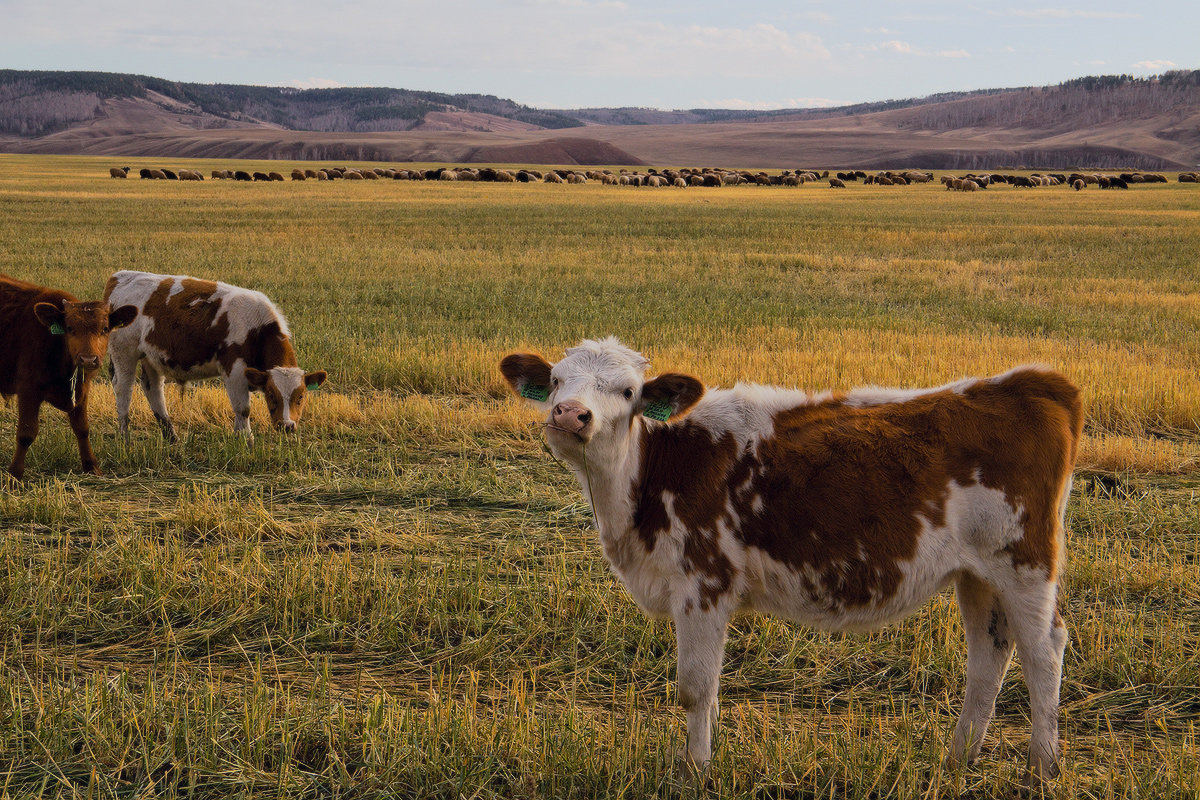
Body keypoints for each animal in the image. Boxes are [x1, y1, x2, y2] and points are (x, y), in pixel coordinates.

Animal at [0, 275, 137, 479]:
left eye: (105, 329)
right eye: (70, 328)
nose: (88, 359)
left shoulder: (82, 391)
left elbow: (82, 429)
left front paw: (91, 466)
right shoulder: (28, 391)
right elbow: (26, 433)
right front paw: (14, 474)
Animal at [103, 272, 326, 441]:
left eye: (301, 396)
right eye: (271, 394)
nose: (287, 425)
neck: (257, 328)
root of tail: (120, 276)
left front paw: (239, 440)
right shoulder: (234, 369)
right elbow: (243, 409)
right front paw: (248, 441)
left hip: (152, 357)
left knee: (154, 390)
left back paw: (172, 438)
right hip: (124, 353)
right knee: (123, 390)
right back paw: (125, 437)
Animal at [501, 338, 1084, 786]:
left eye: (627, 392)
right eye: (556, 381)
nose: (570, 414)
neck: (649, 473)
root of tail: (1025, 382)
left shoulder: (703, 585)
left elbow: (694, 686)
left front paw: (693, 772)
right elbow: (710, 690)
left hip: (1025, 563)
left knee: (1043, 651)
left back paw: (1041, 768)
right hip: (978, 574)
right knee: (989, 655)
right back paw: (958, 760)